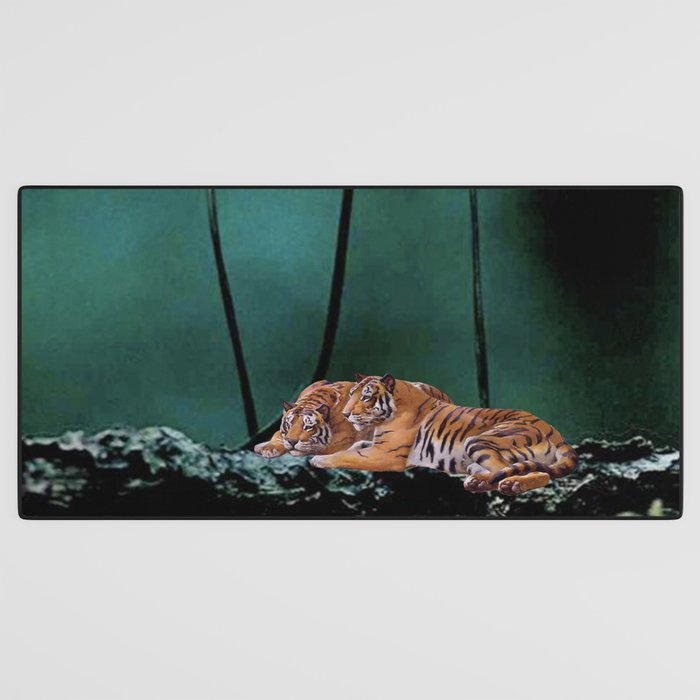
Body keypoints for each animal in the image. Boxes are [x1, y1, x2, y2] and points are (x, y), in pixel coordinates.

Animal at [254, 378, 452, 459]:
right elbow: (276, 435)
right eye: (288, 425)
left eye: (308, 427)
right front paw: (268, 447)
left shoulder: (342, 440)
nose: (293, 442)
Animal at [308, 374, 578, 496]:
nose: (345, 414)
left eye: (365, 396)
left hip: (479, 440)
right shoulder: (375, 444)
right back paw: (476, 482)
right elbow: (355, 448)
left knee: (538, 473)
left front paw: (318, 459)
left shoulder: (386, 454)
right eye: (351, 393)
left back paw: (511, 485)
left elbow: (346, 456)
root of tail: (552, 429)